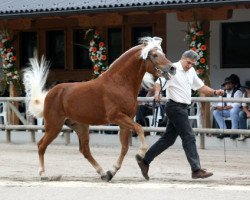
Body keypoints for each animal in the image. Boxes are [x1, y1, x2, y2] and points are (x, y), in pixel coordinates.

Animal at [23, 36, 176, 181]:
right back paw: (43, 174)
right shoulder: (117, 117)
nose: (172, 68)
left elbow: (125, 147)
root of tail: (50, 94)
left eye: (162, 53)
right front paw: (141, 153)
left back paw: (103, 173)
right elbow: (139, 128)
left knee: (85, 150)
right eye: (154, 55)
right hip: (54, 126)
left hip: (80, 126)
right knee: (41, 145)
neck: (118, 83)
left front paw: (112, 171)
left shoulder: (125, 121)